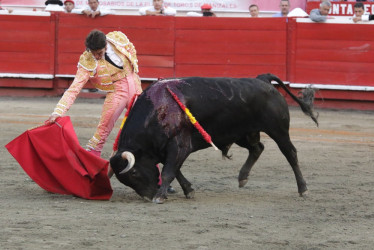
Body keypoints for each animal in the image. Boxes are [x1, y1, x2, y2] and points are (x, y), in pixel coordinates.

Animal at [109, 73, 318, 203]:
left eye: (134, 173)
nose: (147, 196)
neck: (158, 108)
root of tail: (263, 80)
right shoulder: (163, 150)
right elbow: (176, 170)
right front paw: (188, 190)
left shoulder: (179, 146)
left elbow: (169, 171)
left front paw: (160, 196)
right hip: (243, 133)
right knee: (257, 148)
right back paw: (242, 178)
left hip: (278, 130)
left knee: (290, 153)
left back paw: (303, 189)